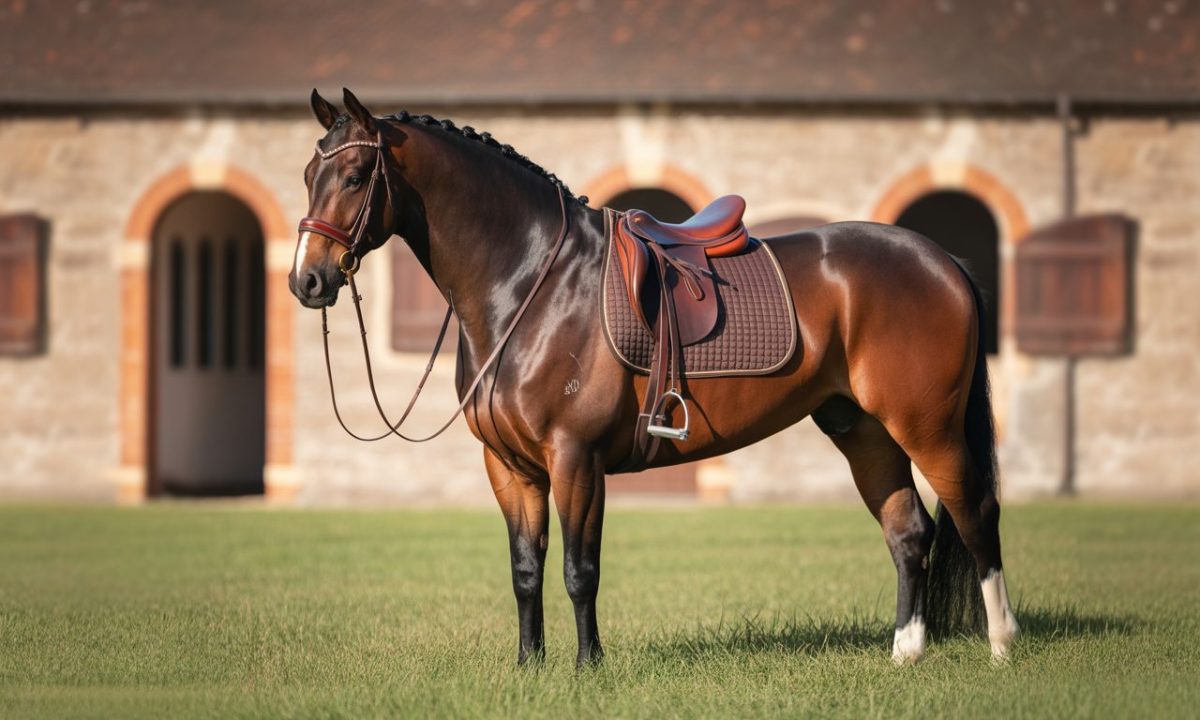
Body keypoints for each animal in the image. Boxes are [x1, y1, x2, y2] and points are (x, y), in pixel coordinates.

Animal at [289, 88, 1019, 667]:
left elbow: (579, 570)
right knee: (909, 531)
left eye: (355, 174)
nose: (308, 281)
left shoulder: (575, 458)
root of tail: (942, 260)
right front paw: (529, 666)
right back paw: (906, 653)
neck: (532, 285)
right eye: (306, 174)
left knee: (976, 515)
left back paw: (1002, 645)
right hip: (863, 429)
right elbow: (526, 570)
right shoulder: (510, 466)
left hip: (928, 428)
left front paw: (588, 667)